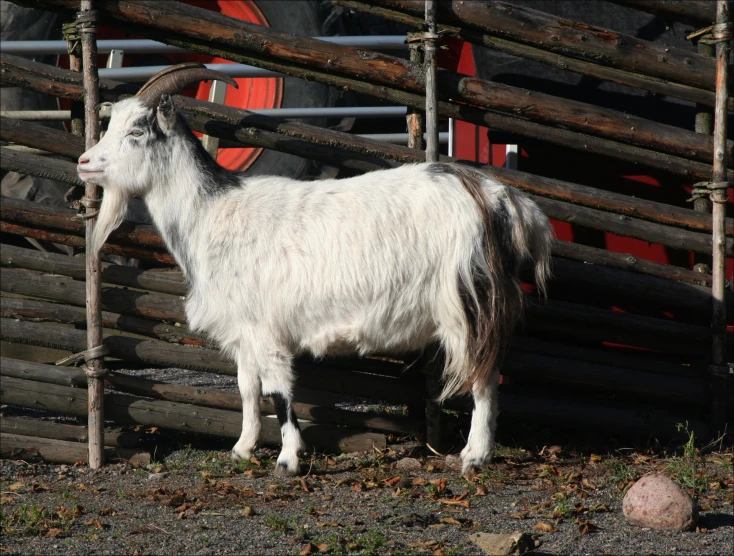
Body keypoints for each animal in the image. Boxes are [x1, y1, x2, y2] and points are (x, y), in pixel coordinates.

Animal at [77, 64, 556, 474]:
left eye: (137, 130)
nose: (84, 163)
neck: (210, 214)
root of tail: (500, 198)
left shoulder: (267, 329)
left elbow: (279, 393)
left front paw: (287, 460)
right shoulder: (243, 328)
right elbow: (247, 388)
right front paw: (242, 449)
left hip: (466, 300)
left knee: (483, 376)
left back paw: (475, 456)